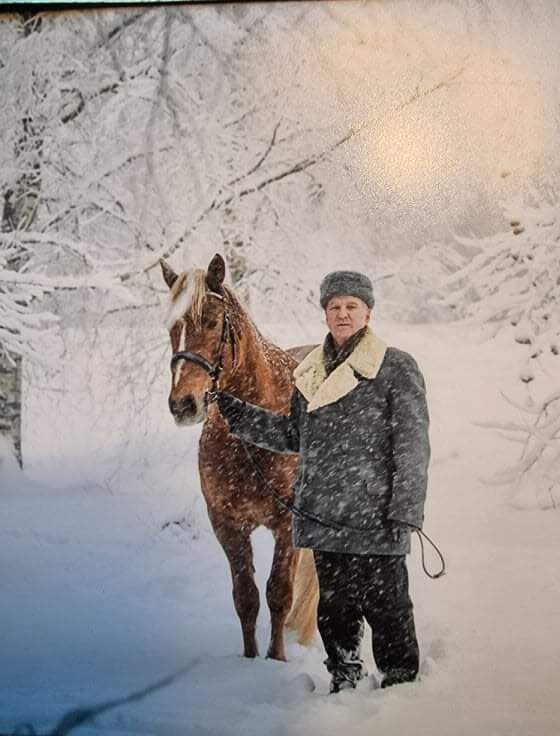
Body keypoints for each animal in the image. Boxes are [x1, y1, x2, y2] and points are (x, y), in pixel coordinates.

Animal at [160, 253, 318, 661]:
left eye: (212, 322)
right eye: (171, 327)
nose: (183, 405)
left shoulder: (287, 525)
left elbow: (279, 594)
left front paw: (276, 659)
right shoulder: (227, 524)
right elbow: (246, 598)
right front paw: (249, 661)